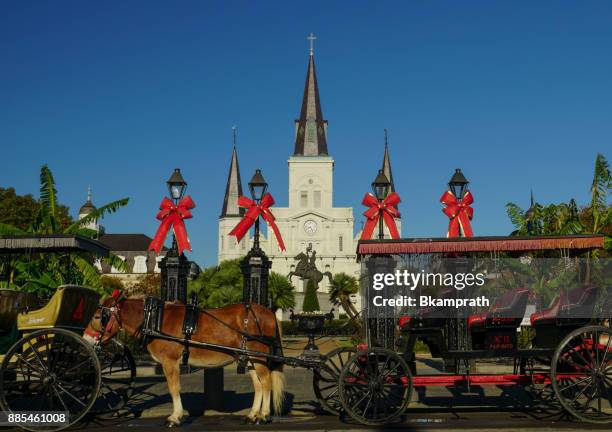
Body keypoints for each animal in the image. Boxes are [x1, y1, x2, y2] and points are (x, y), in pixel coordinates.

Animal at [83, 296, 284, 426]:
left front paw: (175, 417)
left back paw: (263, 415)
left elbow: (174, 388)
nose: (85, 338)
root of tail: (269, 313)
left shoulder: (169, 362)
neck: (154, 319)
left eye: (97, 317)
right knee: (258, 385)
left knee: (266, 383)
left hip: (258, 357)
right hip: (249, 358)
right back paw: (252, 415)